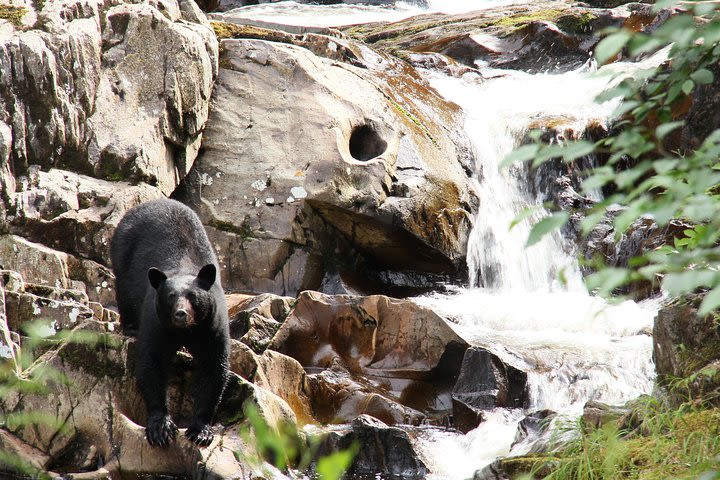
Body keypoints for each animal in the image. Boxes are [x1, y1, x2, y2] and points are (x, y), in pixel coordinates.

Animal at [109, 198, 229, 446]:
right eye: (171, 296)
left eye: (193, 296)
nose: (180, 314)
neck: (187, 331)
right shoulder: (157, 323)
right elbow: (151, 361)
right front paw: (161, 427)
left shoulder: (212, 327)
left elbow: (213, 367)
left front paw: (201, 430)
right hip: (122, 251)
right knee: (123, 288)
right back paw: (130, 326)